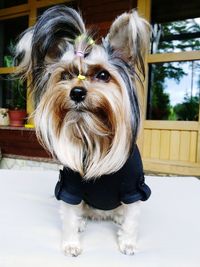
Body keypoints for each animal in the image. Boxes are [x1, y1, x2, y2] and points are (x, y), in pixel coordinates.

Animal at [15, 5, 150, 258]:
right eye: (65, 76)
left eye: (103, 75)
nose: (76, 92)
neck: (93, 134)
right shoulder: (69, 187)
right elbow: (69, 215)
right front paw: (71, 244)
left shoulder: (134, 188)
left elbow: (133, 218)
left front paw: (127, 243)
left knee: (121, 212)